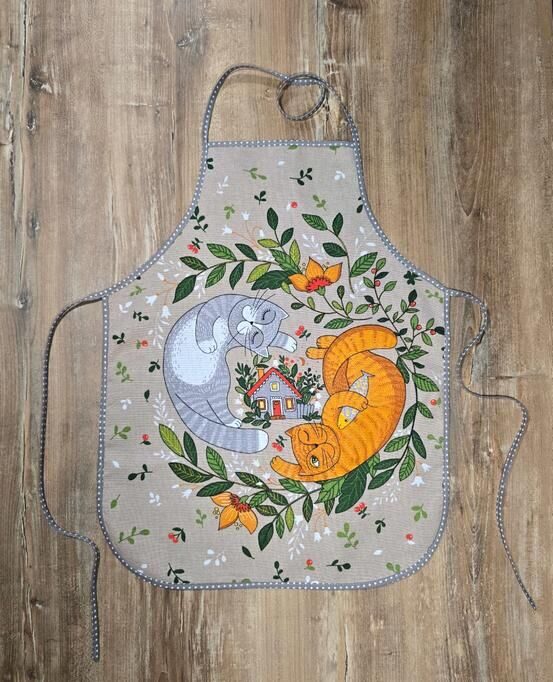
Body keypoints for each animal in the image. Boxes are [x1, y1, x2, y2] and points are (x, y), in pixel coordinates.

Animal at [163, 294, 297, 454]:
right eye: (265, 315)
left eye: (256, 337)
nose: (251, 322)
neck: (229, 321)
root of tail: (170, 384)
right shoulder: (215, 305)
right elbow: (204, 322)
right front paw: (207, 343)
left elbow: (276, 338)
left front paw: (287, 341)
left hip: (217, 384)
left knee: (213, 410)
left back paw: (230, 421)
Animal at [270, 325, 406, 481]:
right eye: (314, 461)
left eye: (310, 440)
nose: (319, 443)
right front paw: (277, 464)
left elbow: (338, 399)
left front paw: (358, 401)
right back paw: (319, 347)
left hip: (353, 365)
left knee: (343, 346)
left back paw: (321, 343)